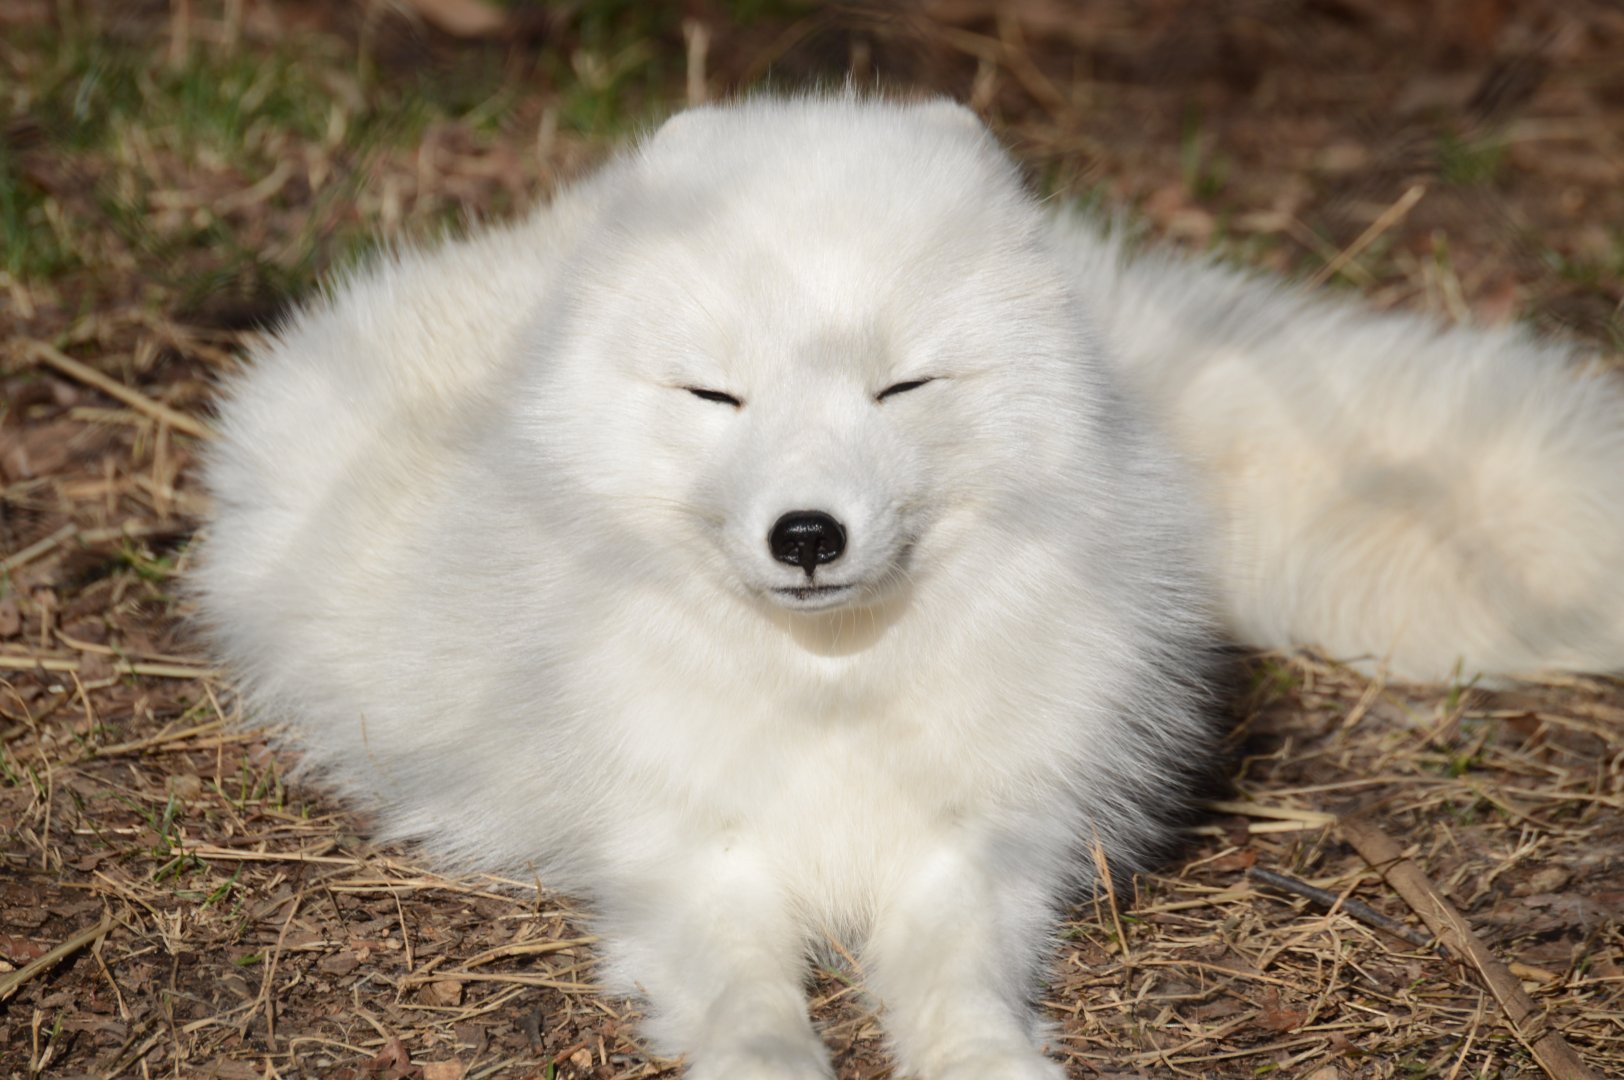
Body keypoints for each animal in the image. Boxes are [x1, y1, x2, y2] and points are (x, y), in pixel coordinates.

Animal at [193, 94, 1624, 1079]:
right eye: (716, 394)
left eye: (901, 386)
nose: (807, 534)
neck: (837, 689)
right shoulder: (686, 860)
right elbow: (752, 1013)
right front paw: (771, 1061)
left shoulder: (979, 850)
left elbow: (957, 989)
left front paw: (987, 1061)